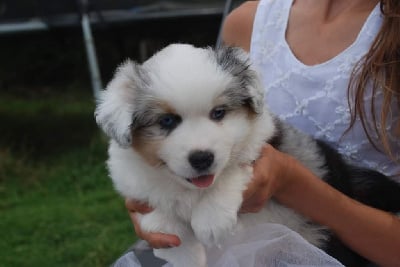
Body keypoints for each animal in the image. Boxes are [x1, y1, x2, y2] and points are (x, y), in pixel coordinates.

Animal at [95, 44, 400, 267]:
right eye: (167, 121)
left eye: (218, 113)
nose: (202, 158)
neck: (188, 188)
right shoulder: (135, 183)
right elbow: (160, 219)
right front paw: (183, 250)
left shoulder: (260, 144)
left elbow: (233, 169)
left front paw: (211, 221)